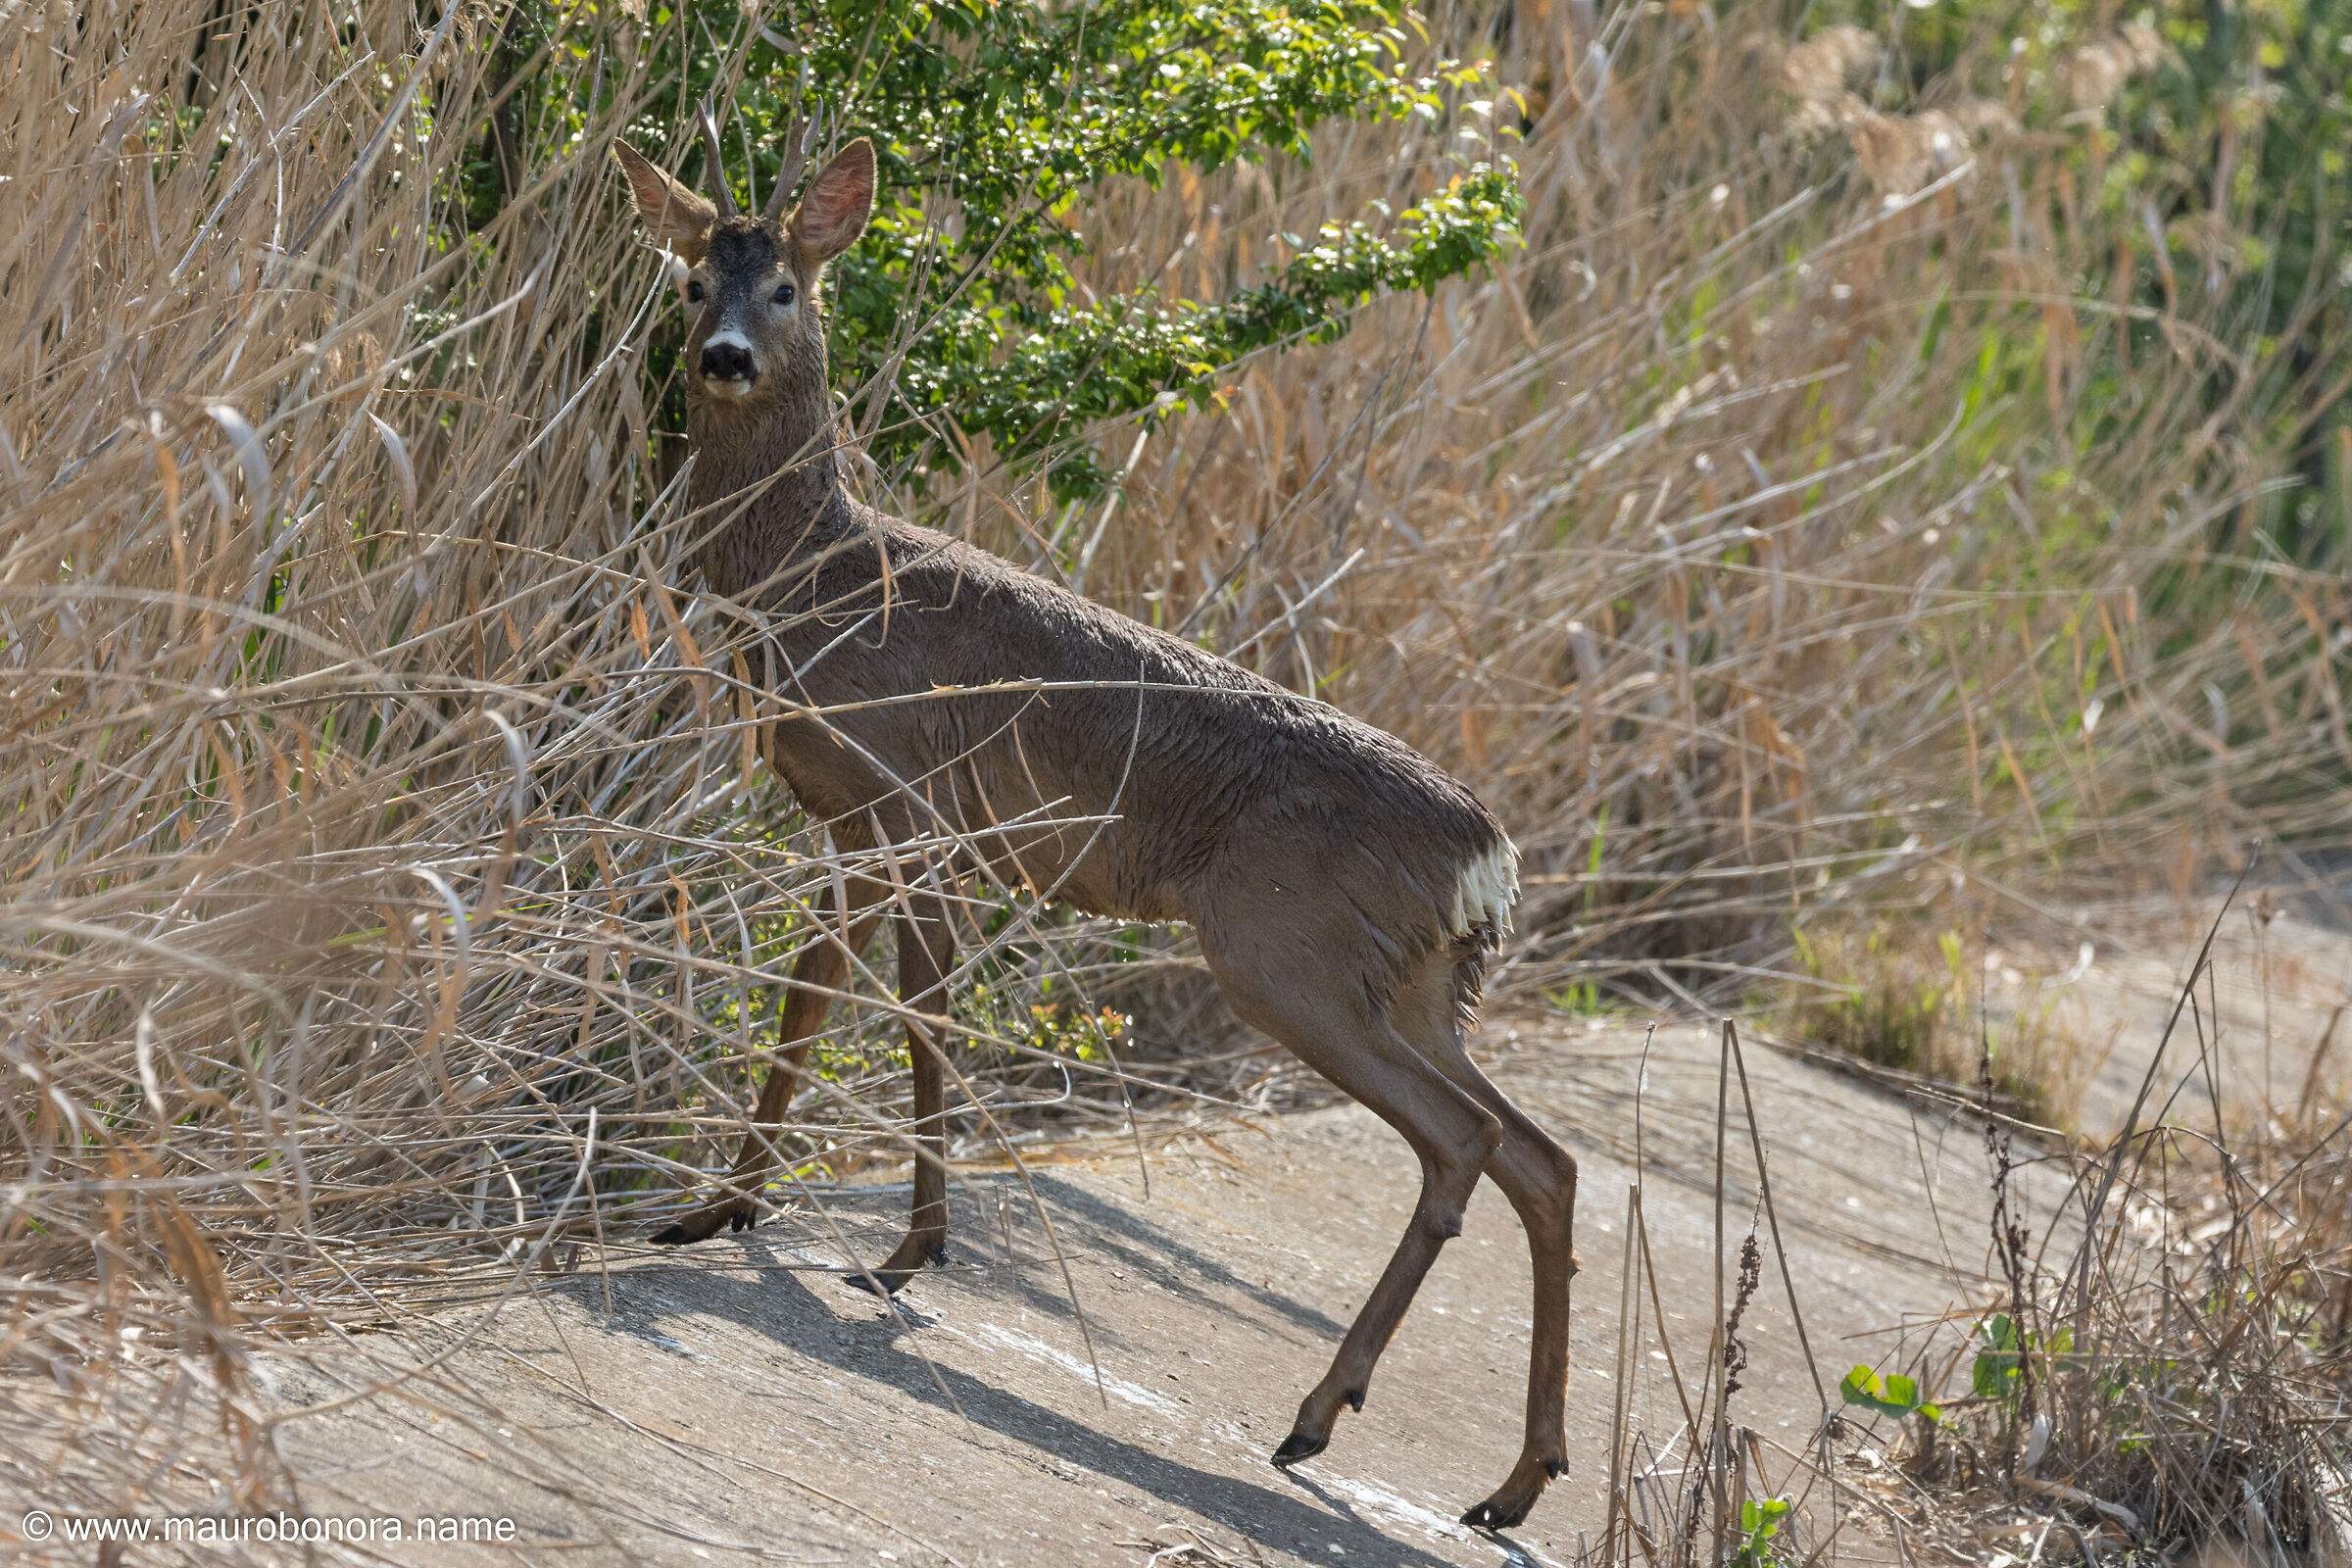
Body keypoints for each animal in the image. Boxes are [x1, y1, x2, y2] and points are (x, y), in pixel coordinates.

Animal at [610, 110, 1580, 1529]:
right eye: (690, 283)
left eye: (785, 286)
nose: (727, 355)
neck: (823, 574)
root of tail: (1486, 852)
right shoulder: (862, 823)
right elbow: (830, 1006)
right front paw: (752, 1215)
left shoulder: (908, 801)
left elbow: (894, 1017)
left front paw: (875, 1242)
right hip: (1407, 982)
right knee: (1544, 1157)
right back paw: (1505, 1486)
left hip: (1281, 950)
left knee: (1469, 1139)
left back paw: (1318, 1418)